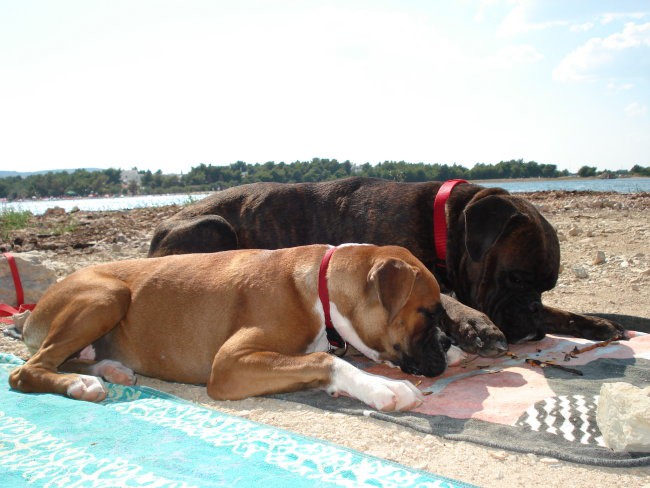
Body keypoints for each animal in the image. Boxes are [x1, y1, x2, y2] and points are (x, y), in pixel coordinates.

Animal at [8, 246, 450, 410]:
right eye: (428, 312)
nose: (448, 343)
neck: (320, 287)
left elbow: (319, 359)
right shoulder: (230, 365)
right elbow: (328, 360)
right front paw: (383, 387)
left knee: (60, 359)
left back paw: (109, 370)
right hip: (109, 294)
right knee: (25, 371)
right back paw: (79, 385)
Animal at [147, 177, 624, 348]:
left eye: (545, 286)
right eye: (514, 277)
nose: (532, 315)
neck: (441, 222)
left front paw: (592, 322)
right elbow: (447, 299)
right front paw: (473, 322)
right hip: (214, 226)